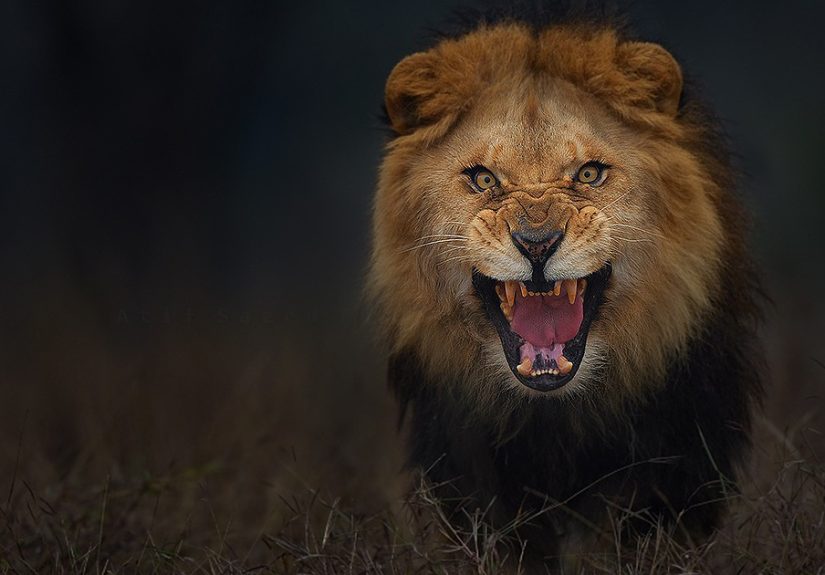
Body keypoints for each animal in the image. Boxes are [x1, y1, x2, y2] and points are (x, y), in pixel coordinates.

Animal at [369, 6, 761, 566]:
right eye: (484, 179)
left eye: (590, 173)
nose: (537, 244)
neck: (555, 415)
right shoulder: (470, 472)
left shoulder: (673, 465)